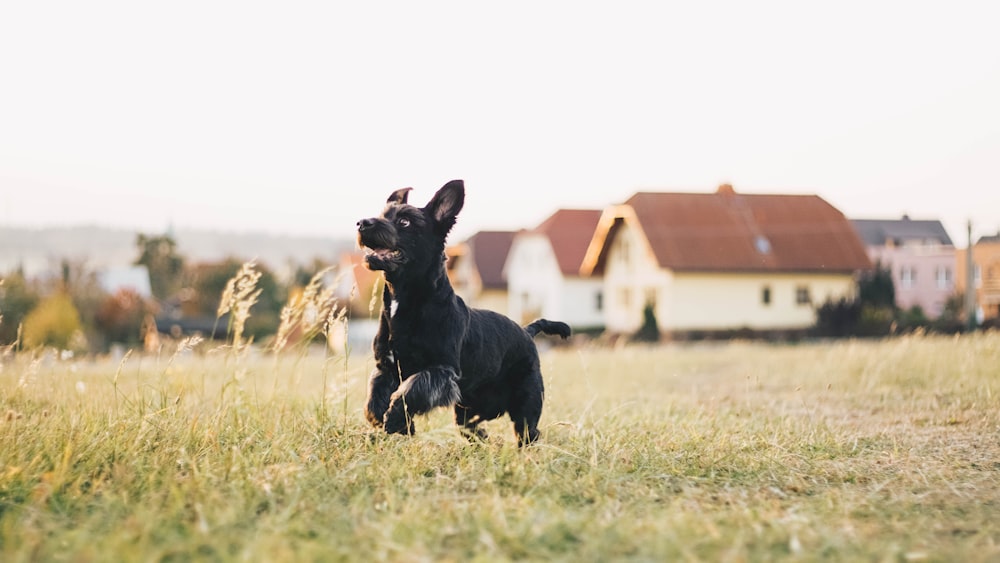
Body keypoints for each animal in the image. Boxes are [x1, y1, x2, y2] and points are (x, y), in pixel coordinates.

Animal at [358, 181, 572, 446]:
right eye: (382, 214)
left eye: (405, 221)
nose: (363, 223)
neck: (407, 301)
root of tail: (526, 331)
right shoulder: (385, 367)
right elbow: (374, 399)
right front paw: (392, 422)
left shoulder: (441, 371)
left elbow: (411, 389)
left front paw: (396, 418)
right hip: (468, 409)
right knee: (471, 428)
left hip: (527, 402)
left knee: (528, 432)